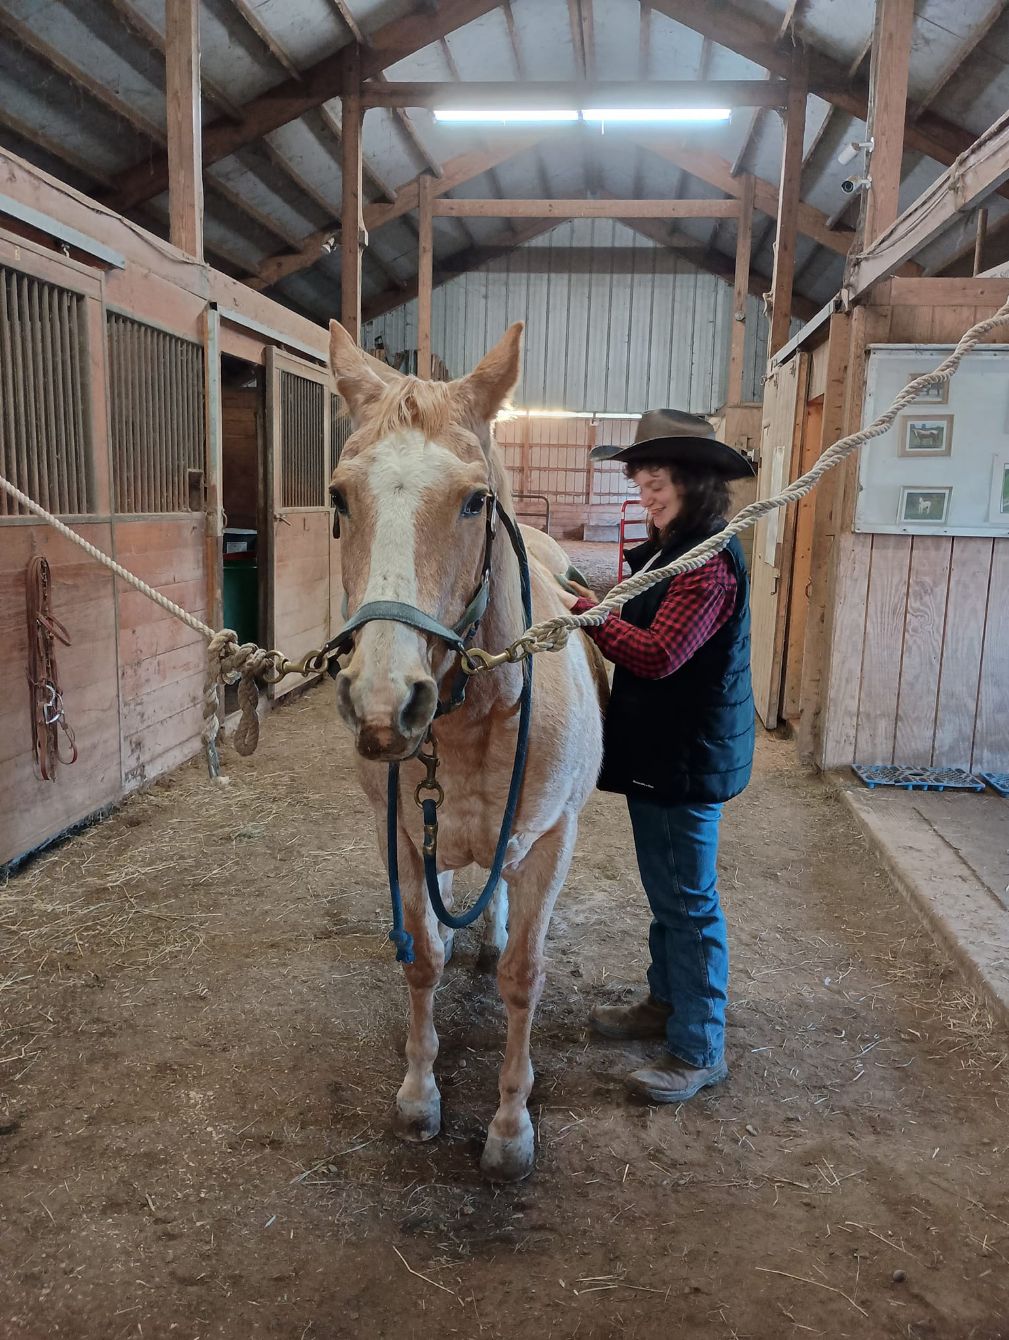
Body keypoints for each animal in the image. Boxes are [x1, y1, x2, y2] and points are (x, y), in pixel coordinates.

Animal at [327, 320, 606, 1181]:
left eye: (474, 500)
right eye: (338, 497)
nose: (385, 700)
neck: (479, 714)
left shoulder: (550, 841)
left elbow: (523, 976)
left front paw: (510, 1129)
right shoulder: (398, 839)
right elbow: (419, 958)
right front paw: (419, 1097)